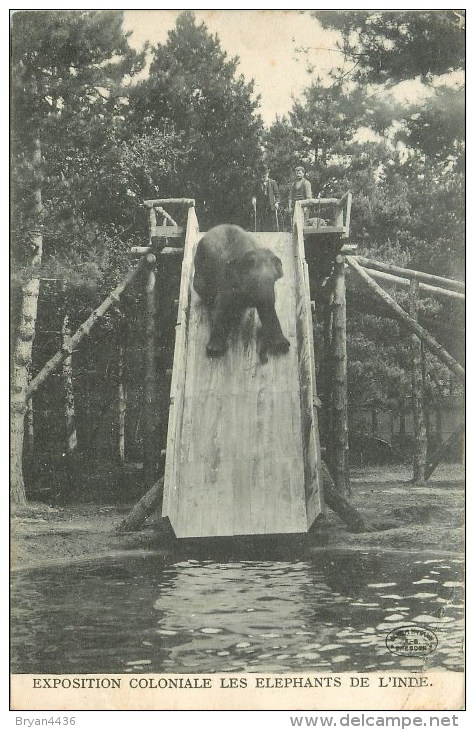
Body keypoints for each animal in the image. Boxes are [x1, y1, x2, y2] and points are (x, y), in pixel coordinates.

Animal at [192, 222, 290, 358]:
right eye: (251, 282)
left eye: (273, 280)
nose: (263, 355)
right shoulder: (227, 282)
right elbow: (221, 307)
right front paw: (215, 350)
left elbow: (267, 308)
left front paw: (282, 345)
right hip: (200, 270)